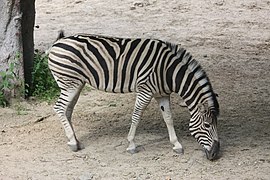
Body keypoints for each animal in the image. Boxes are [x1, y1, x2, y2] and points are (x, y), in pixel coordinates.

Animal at [48, 31, 219, 160]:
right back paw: (73, 143)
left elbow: (169, 118)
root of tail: (59, 41)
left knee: (67, 110)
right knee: (59, 108)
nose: (215, 154)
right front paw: (131, 145)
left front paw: (176, 144)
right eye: (207, 125)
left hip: (76, 84)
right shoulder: (145, 90)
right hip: (70, 83)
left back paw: (74, 141)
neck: (168, 71)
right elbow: (136, 116)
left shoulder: (162, 94)